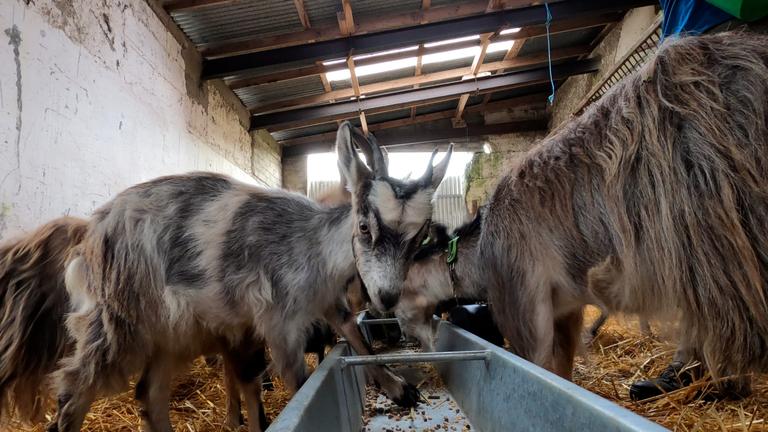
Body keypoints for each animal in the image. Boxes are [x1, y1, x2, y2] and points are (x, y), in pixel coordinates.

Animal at [49, 122, 452, 432]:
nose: (386, 297)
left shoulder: (326, 301)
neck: (314, 246)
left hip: (173, 331)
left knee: (149, 394)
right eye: (365, 226)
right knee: (74, 386)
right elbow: (300, 381)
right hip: (118, 321)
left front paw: (399, 387)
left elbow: (356, 336)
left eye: (419, 237)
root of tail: (91, 235)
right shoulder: (278, 321)